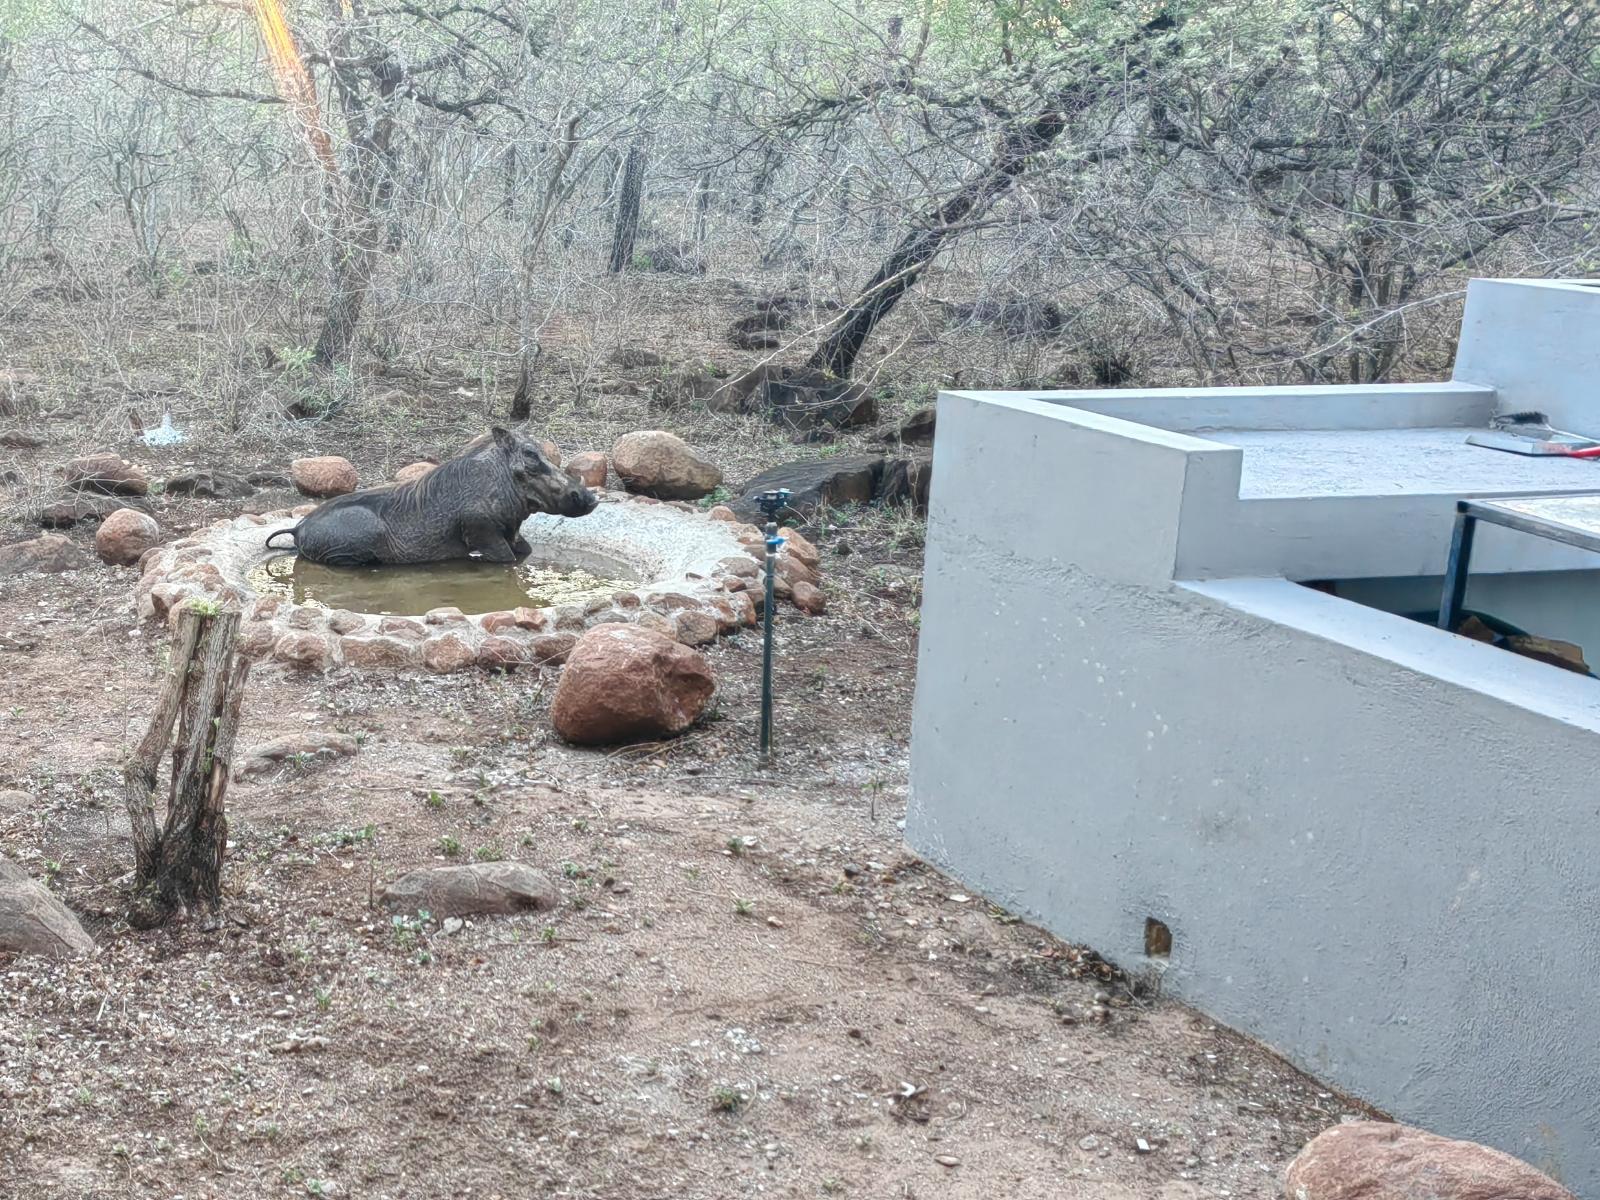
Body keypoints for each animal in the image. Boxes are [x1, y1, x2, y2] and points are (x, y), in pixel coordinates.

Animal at [265, 426, 597, 567]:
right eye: (530, 456)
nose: (592, 499)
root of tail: (298, 527)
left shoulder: (512, 533)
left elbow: (525, 551)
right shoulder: (484, 533)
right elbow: (506, 560)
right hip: (351, 551)